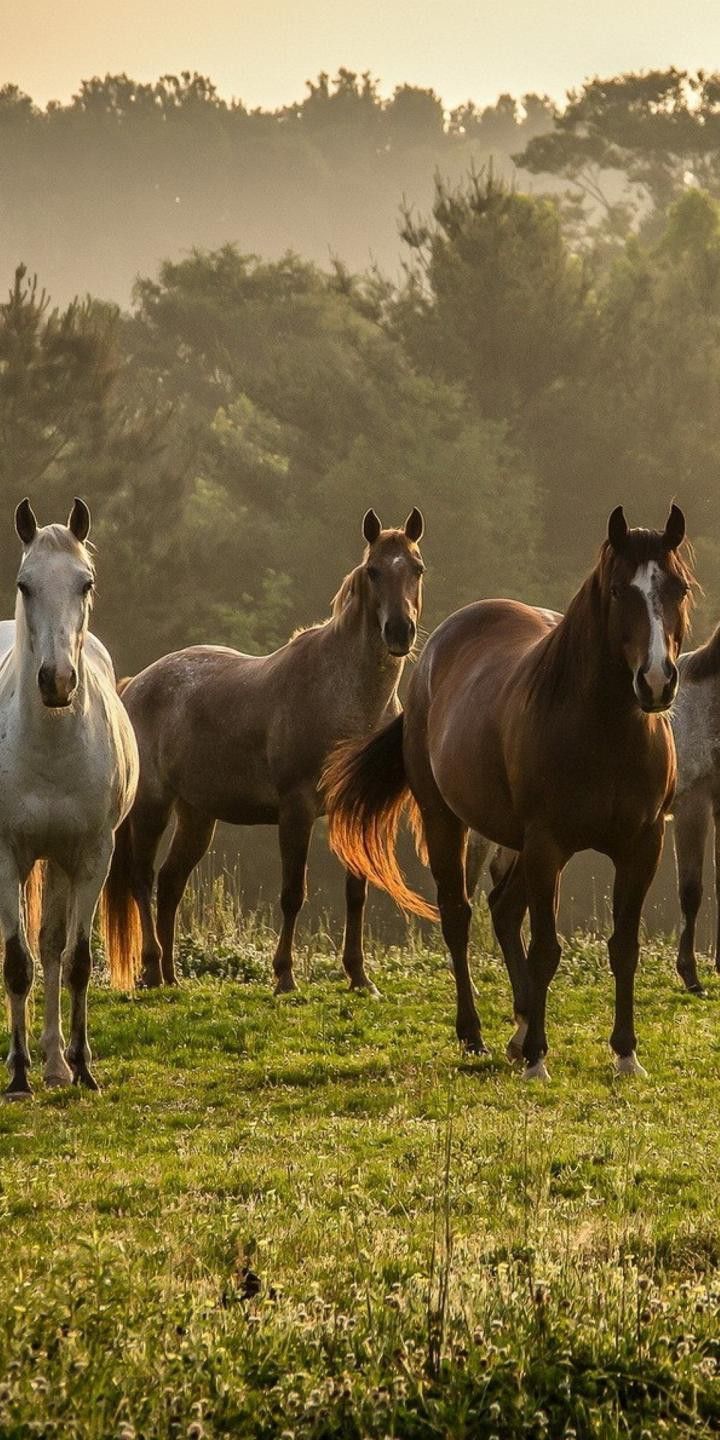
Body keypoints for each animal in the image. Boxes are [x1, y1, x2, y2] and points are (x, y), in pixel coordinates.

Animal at [325, 512, 691, 1077]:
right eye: (617, 590)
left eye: (678, 588)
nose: (655, 682)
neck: (604, 733)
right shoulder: (548, 846)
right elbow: (545, 949)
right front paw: (539, 1056)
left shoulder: (641, 847)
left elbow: (623, 948)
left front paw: (626, 1054)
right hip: (448, 820)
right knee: (460, 916)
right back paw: (475, 1033)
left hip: (515, 843)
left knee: (502, 909)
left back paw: (517, 1030)